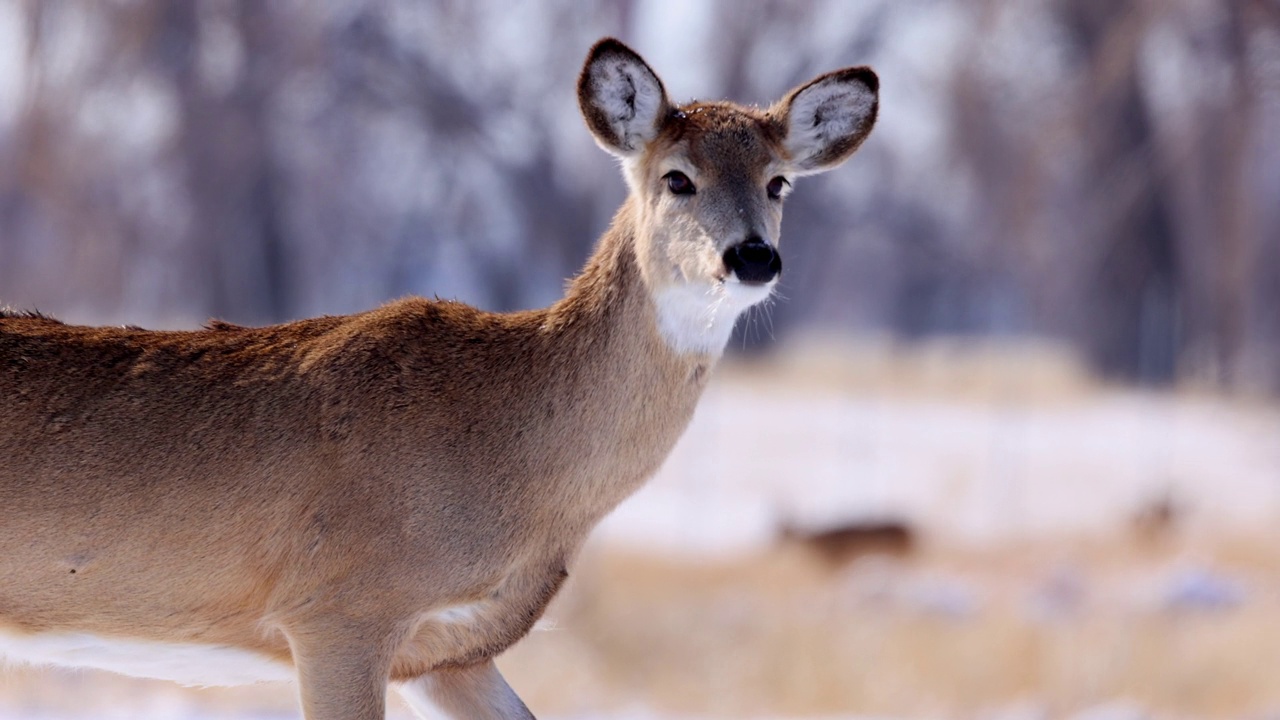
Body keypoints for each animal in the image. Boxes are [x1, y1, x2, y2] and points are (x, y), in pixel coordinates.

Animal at [0, 37, 875, 717]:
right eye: (678, 177)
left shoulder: (448, 651)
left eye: (778, 182)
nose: (753, 257)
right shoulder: (341, 608)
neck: (520, 464)